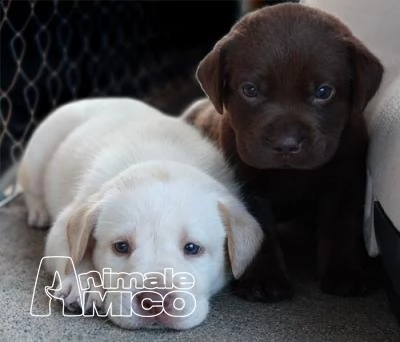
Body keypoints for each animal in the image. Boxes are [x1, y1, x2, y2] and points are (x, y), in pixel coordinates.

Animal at [18, 97, 264, 330]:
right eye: (121, 247)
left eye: (193, 248)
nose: (154, 301)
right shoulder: (65, 223)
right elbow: (72, 253)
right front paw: (83, 282)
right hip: (40, 150)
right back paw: (38, 211)